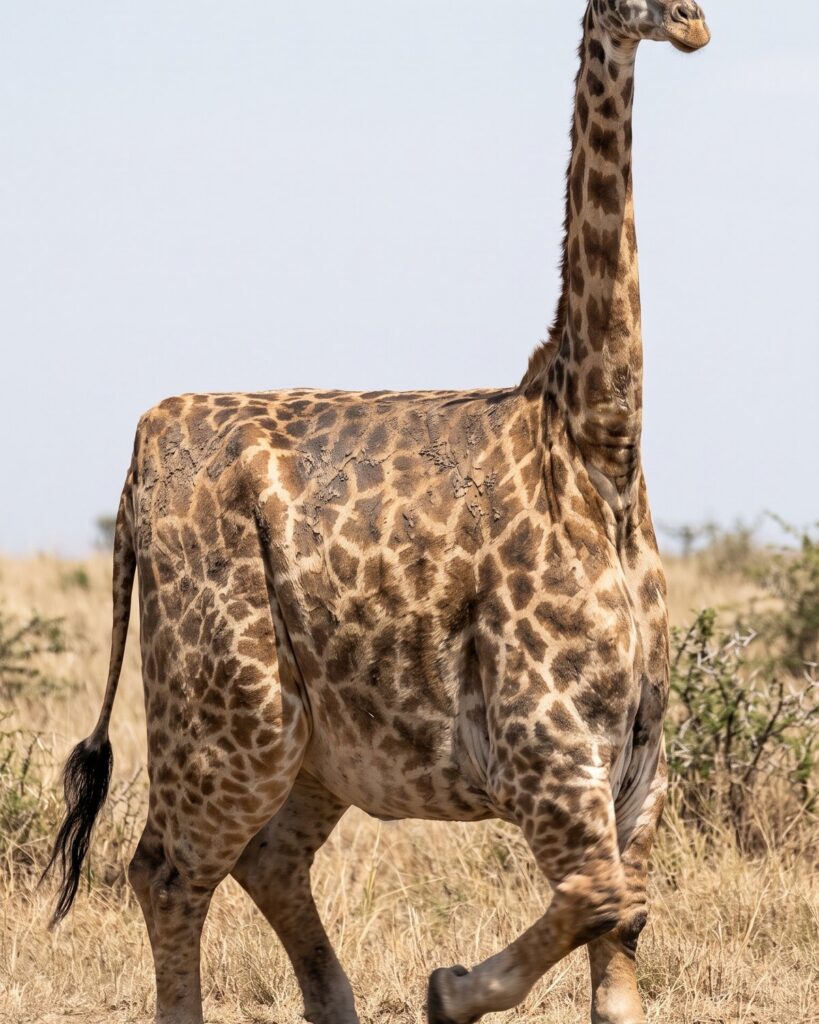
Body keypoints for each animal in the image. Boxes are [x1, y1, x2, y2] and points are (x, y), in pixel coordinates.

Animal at [45, 3, 710, 1023]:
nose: (691, 23)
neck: (598, 448)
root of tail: (140, 455)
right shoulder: (544, 752)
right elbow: (599, 899)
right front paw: (447, 990)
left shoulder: (638, 773)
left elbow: (619, 948)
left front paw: (451, 989)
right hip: (228, 715)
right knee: (164, 870)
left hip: (315, 750)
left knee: (267, 862)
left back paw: (337, 1006)